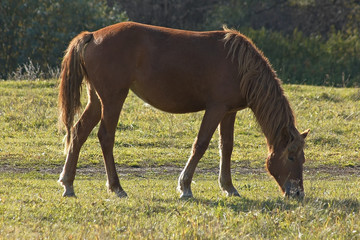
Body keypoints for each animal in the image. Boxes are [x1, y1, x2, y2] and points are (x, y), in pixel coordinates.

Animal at [58, 22, 310, 199]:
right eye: (290, 156)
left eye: (303, 158)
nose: (297, 193)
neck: (239, 65)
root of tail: (92, 35)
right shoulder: (215, 108)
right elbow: (201, 144)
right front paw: (185, 186)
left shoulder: (229, 112)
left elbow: (226, 147)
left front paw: (229, 187)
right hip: (113, 99)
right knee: (106, 137)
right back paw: (116, 187)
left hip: (97, 101)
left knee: (78, 133)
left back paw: (68, 183)